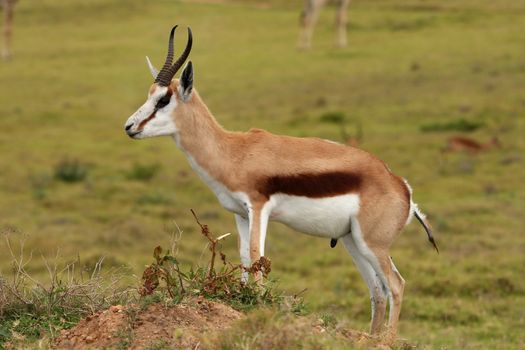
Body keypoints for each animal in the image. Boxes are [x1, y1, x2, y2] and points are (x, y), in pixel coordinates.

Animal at [124, 26, 438, 340]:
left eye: (164, 99)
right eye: (150, 94)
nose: (129, 127)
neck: (234, 152)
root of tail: (402, 187)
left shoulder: (258, 207)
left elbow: (256, 257)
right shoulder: (241, 213)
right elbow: (245, 258)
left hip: (372, 244)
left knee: (396, 285)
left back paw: (388, 339)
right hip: (353, 241)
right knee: (377, 290)